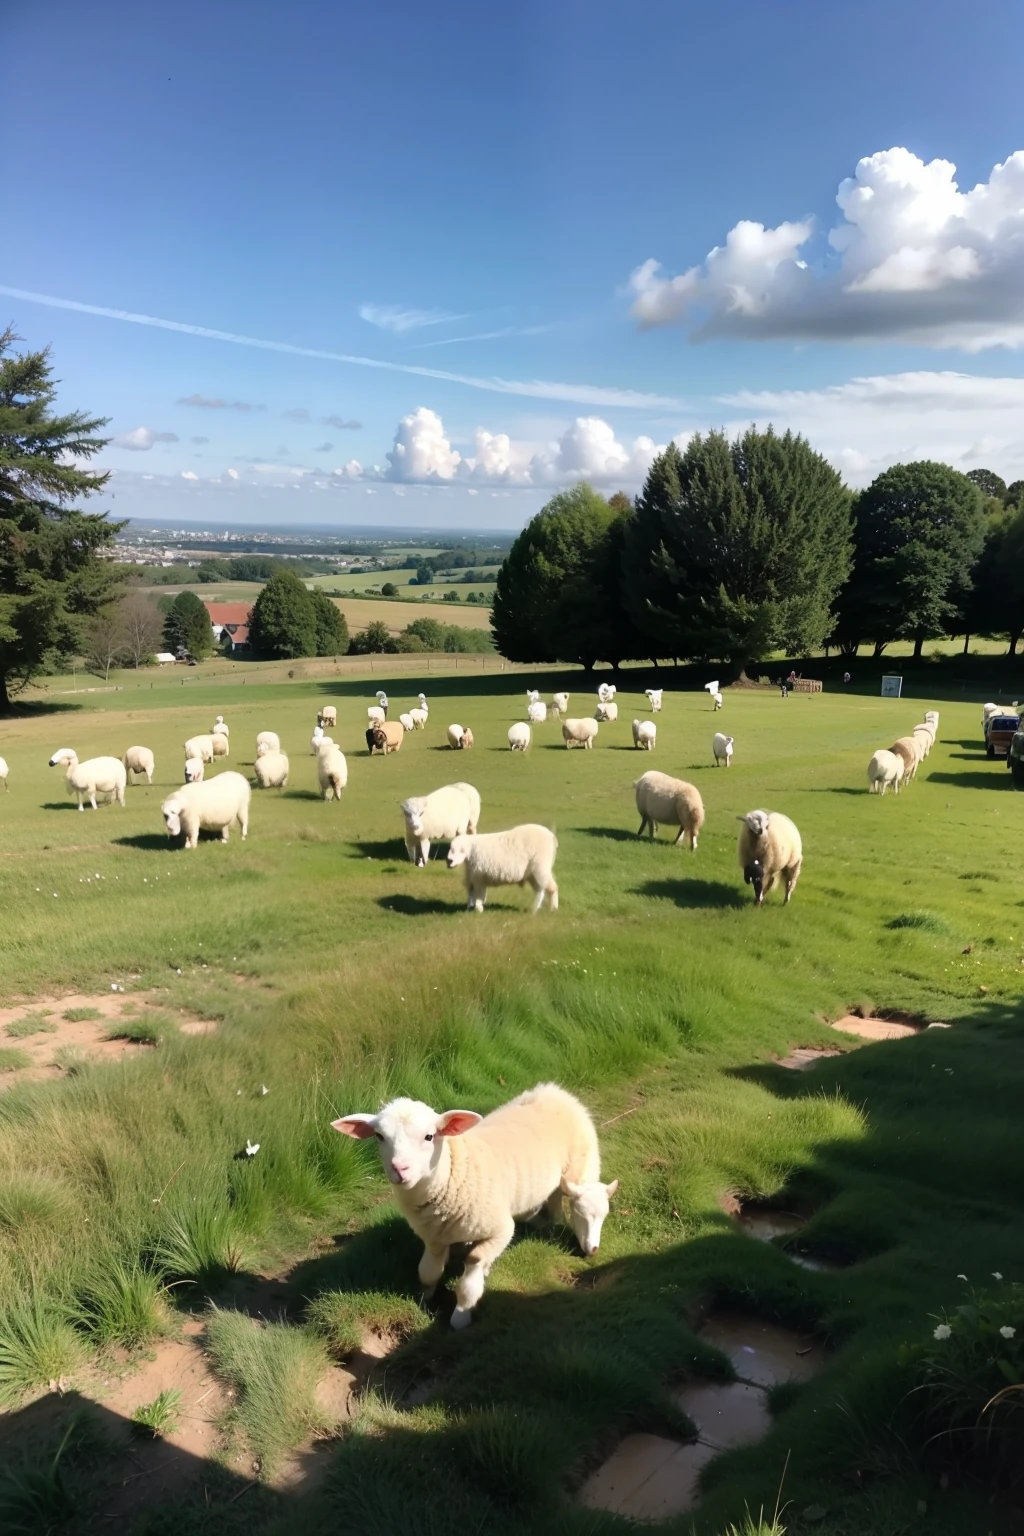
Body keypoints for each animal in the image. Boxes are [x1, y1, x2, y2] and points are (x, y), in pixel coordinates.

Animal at [333, 1081, 617, 1333]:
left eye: (429, 1136)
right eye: (379, 1136)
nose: (399, 1169)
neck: (453, 1171)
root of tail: (555, 1092)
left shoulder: (500, 1231)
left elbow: (469, 1282)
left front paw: (460, 1319)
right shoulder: (433, 1238)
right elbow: (428, 1272)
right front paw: (426, 1299)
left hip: (580, 1163)